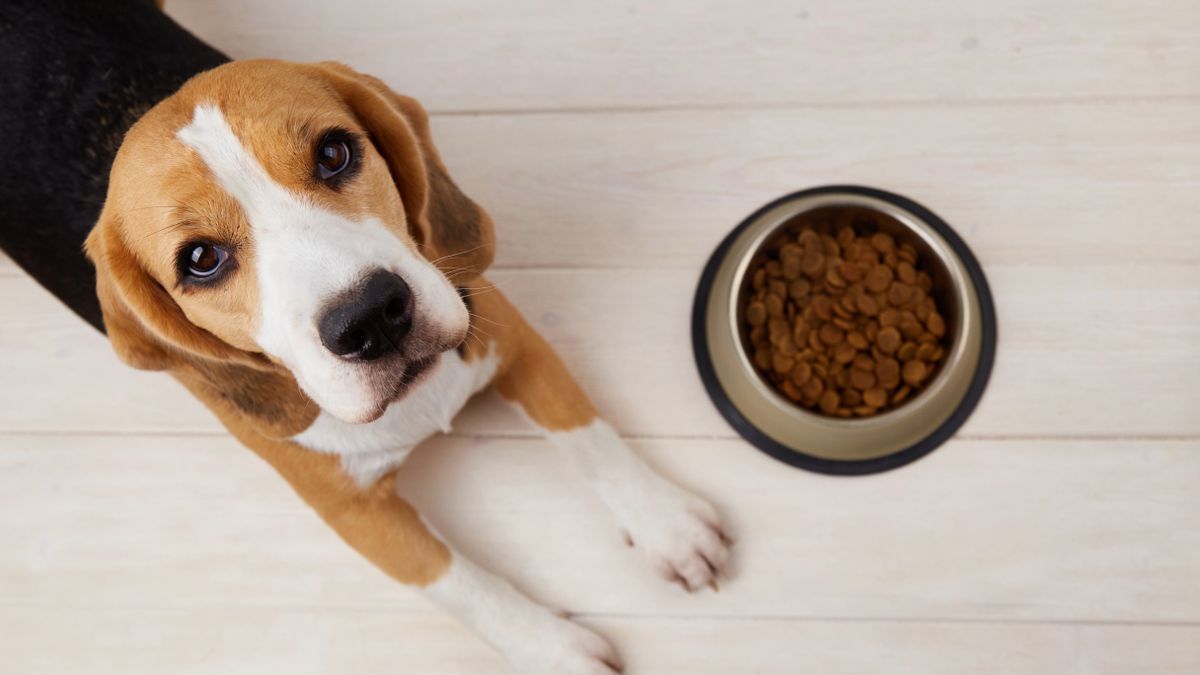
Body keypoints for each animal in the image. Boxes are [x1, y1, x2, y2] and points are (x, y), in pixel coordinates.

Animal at [82, 59, 729, 672]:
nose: (370, 317)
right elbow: (456, 582)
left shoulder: (512, 337)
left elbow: (588, 435)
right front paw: (552, 649)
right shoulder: (353, 513)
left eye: (334, 153)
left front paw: (666, 524)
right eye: (200, 259)